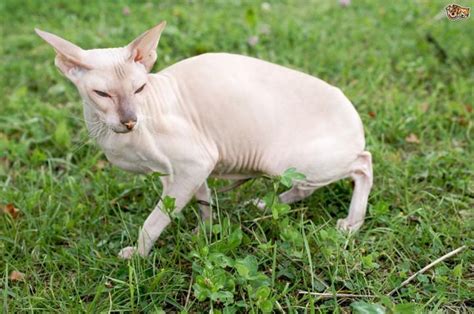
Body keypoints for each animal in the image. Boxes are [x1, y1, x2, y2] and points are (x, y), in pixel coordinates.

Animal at [35, 21, 372, 258]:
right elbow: (203, 200)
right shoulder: (185, 171)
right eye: (102, 94)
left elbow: (155, 220)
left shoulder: (195, 162)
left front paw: (138, 257)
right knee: (306, 185)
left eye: (139, 89)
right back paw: (265, 204)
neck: (115, 137)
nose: (129, 120)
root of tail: (356, 118)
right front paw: (205, 235)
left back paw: (352, 223)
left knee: (362, 164)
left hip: (281, 160)